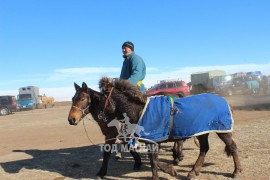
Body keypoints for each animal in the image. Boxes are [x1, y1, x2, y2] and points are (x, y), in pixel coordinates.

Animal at [98, 76, 243, 179]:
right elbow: (154, 162)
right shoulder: (153, 142)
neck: (140, 110)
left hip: (222, 131)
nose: (101, 116)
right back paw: (193, 171)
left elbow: (154, 162)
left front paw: (170, 171)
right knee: (204, 149)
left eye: (102, 97)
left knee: (232, 147)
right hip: (203, 131)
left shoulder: (154, 142)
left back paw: (236, 171)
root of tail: (224, 101)